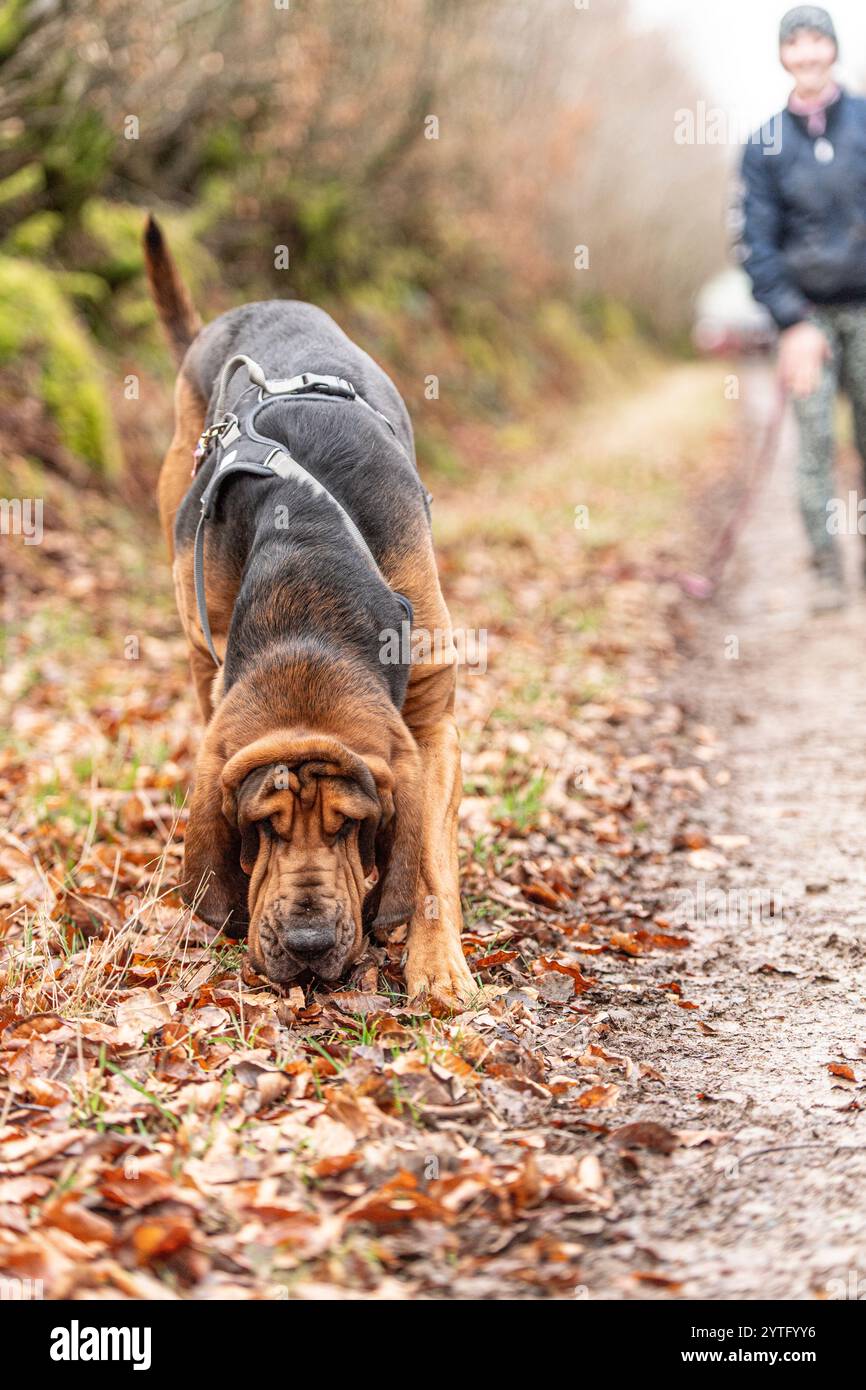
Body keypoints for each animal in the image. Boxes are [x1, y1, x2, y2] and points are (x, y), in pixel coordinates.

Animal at [145, 211, 478, 1006]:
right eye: (260, 827)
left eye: (351, 826)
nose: (306, 946)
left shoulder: (431, 721)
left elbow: (428, 857)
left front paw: (436, 964)